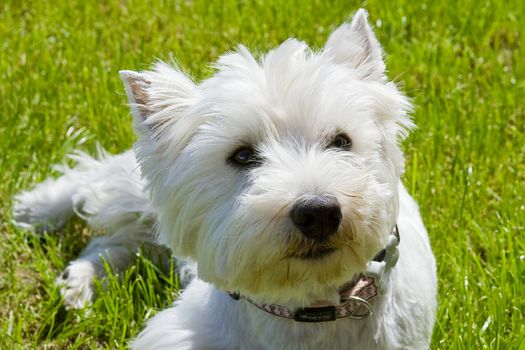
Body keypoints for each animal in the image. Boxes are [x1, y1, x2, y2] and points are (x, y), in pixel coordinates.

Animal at [14, 9, 436, 350]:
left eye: (342, 141)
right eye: (243, 155)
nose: (318, 213)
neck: (307, 307)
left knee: (117, 241)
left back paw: (79, 281)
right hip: (133, 187)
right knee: (92, 180)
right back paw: (35, 213)